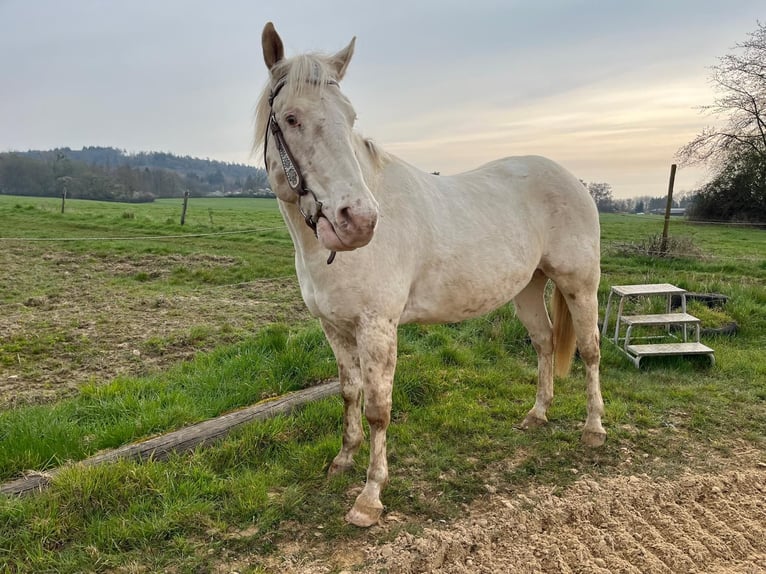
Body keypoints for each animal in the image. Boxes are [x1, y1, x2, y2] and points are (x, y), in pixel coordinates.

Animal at [255, 22, 605, 527]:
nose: (359, 221)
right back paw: (537, 415)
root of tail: (573, 180)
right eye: (291, 118)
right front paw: (343, 459)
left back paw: (594, 429)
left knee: (591, 351)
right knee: (543, 343)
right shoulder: (334, 327)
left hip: (580, 285)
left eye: (350, 118)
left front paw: (369, 497)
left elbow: (379, 408)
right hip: (528, 286)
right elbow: (349, 392)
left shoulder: (377, 327)